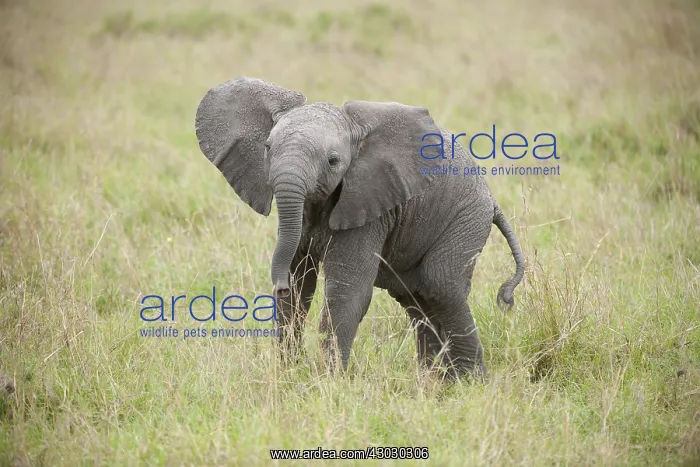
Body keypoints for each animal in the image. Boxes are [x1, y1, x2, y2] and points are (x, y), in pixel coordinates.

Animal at [194, 76, 525, 380]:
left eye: (333, 161)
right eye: (266, 147)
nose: (279, 284)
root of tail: (491, 200)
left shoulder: (370, 205)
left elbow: (346, 292)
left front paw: (329, 382)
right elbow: (301, 288)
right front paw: (289, 374)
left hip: (467, 218)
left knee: (441, 286)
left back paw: (469, 382)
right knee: (416, 299)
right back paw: (432, 381)